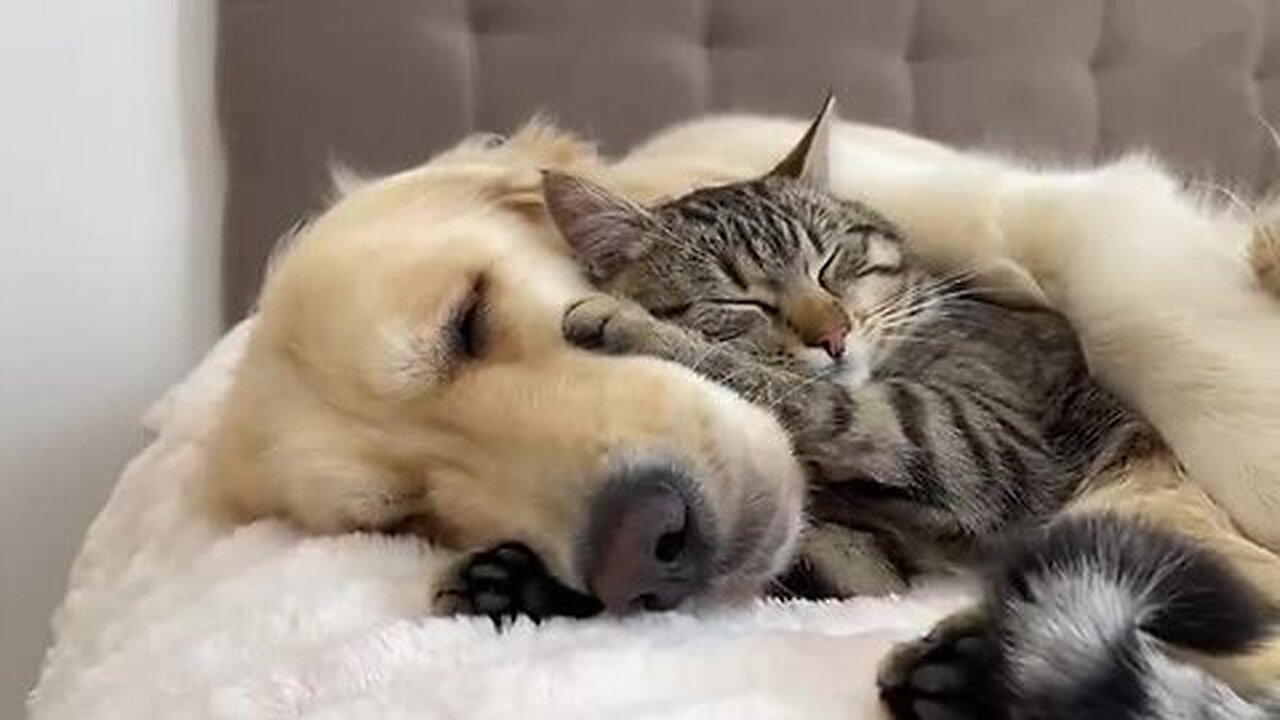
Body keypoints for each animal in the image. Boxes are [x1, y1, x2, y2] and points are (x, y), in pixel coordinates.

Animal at [542, 101, 1152, 594]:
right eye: (740, 301)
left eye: (831, 263)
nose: (834, 335)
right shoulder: (865, 551)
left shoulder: (979, 435)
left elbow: (803, 394)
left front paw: (634, 325)